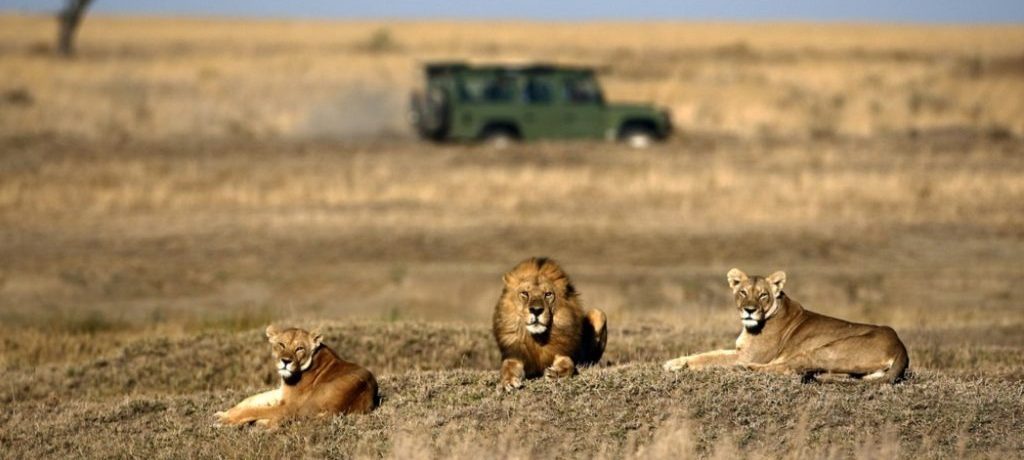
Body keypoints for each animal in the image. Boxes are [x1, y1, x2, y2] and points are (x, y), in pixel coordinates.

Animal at [217, 323, 380, 426]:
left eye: (299, 348)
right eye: (281, 345)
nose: (286, 361)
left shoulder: (290, 404)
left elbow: (256, 408)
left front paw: (225, 420)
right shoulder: (282, 393)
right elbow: (252, 399)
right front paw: (223, 413)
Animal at [489, 256, 602, 389]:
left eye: (548, 294)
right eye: (525, 293)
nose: (536, 310)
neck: (538, 338)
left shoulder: (562, 352)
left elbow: (568, 364)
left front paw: (555, 373)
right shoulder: (515, 355)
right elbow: (507, 367)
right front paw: (508, 381)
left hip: (599, 313)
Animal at [667, 266, 909, 381]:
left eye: (763, 295)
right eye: (743, 292)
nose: (749, 310)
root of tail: (900, 347)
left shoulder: (748, 355)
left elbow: (709, 359)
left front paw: (683, 366)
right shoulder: (739, 350)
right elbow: (707, 353)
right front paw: (674, 362)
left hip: (827, 349)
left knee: (792, 368)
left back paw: (745, 368)